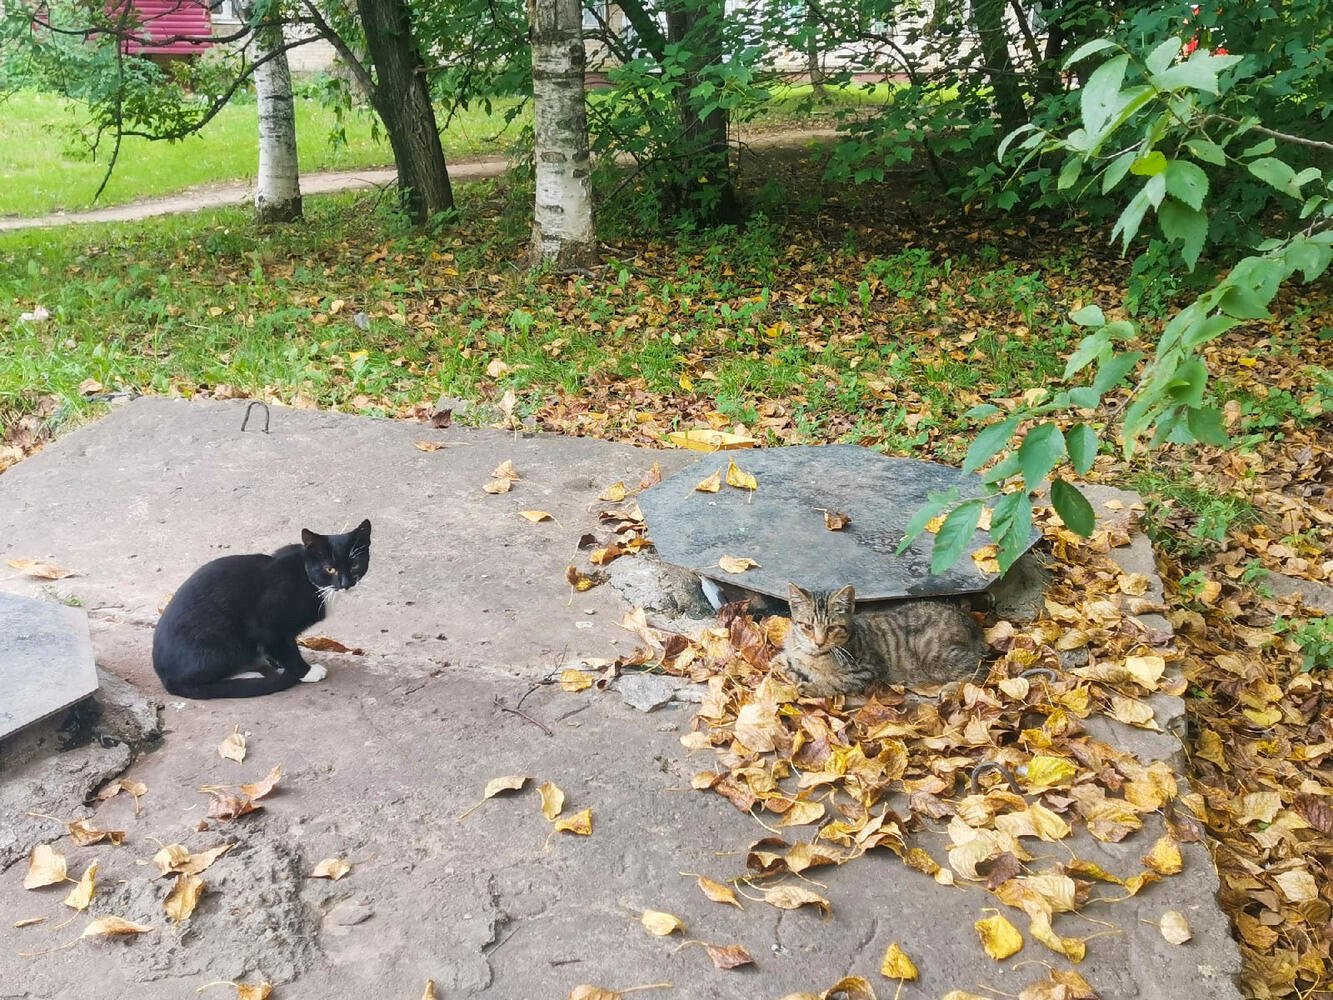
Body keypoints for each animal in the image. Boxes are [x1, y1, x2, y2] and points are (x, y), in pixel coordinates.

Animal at [152, 521, 371, 699]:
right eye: (330, 569)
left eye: (355, 565)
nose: (346, 584)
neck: (309, 579)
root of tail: (166, 678)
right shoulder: (267, 622)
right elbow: (285, 648)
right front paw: (305, 671)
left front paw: (278, 663)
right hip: (225, 642)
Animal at [779, 582, 986, 696]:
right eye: (808, 627)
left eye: (831, 628)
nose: (819, 642)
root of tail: (967, 618)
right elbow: (782, 661)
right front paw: (785, 667)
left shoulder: (866, 669)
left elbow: (835, 682)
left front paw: (811, 688)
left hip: (934, 654)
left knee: (981, 669)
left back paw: (950, 689)